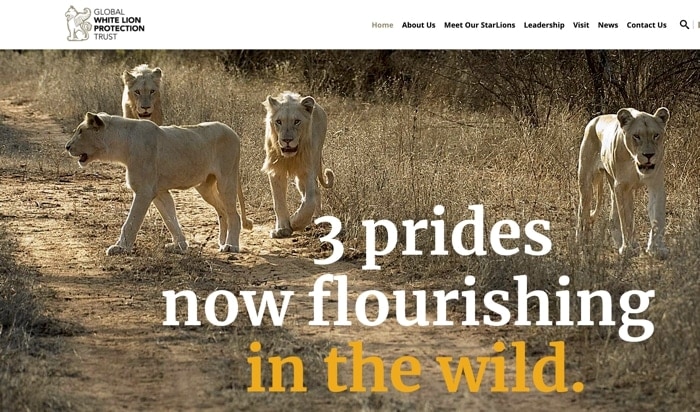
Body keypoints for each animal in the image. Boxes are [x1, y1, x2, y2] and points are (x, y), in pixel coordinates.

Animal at [65, 112, 253, 256]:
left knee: (234, 214)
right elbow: (170, 218)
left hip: (227, 178)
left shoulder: (144, 191)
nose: (67, 146)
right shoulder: (159, 191)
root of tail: (232, 132)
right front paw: (180, 245)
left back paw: (231, 246)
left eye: (80, 132)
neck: (121, 144)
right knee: (222, 211)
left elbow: (131, 222)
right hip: (205, 186)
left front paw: (120, 247)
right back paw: (221, 242)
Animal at [262, 91, 335, 238]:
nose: (287, 140)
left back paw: (318, 219)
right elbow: (279, 202)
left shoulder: (307, 171)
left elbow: (309, 201)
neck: (290, 157)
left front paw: (295, 223)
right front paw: (282, 229)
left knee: (315, 192)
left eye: (297, 121)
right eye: (279, 121)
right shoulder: (276, 170)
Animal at [576, 107, 670, 259]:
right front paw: (628, 248)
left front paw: (656, 249)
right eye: (636, 136)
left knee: (613, 217)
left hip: (612, 184)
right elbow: (626, 219)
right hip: (586, 180)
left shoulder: (656, 184)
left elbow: (658, 217)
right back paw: (581, 242)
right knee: (582, 210)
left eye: (656, 135)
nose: (649, 155)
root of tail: (594, 120)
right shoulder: (622, 186)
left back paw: (620, 242)